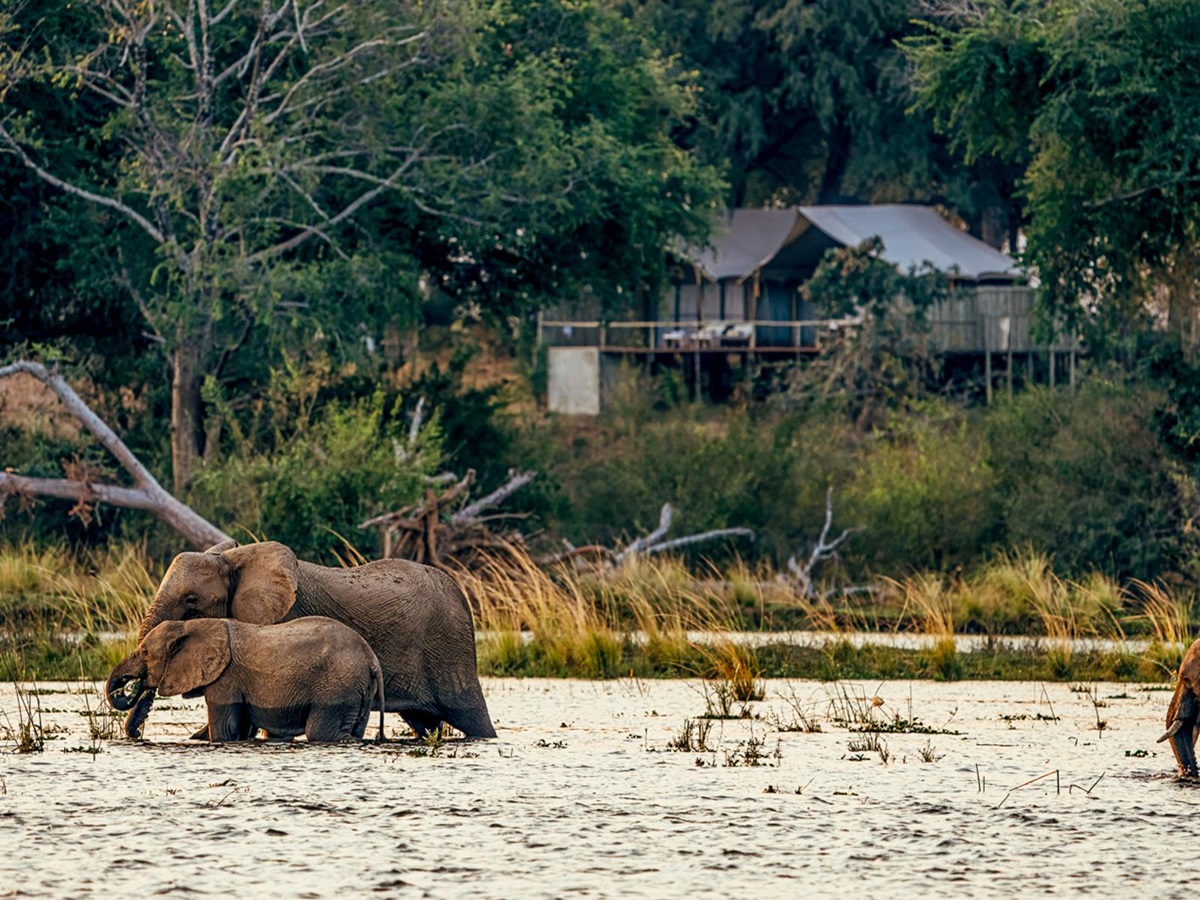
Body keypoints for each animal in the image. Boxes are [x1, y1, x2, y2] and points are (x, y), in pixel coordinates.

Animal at [107, 617, 386, 742]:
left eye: (144, 653)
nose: (138, 735)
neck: (191, 625)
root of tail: (371, 657)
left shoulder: (226, 678)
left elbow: (225, 729)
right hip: (358, 688)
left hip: (337, 686)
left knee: (320, 732)